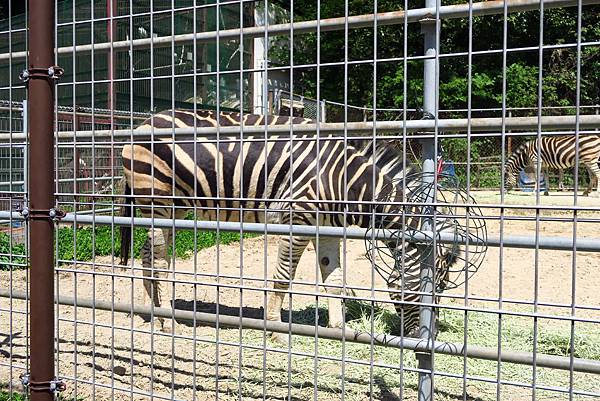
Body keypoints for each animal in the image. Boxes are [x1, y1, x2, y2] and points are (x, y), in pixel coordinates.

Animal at [118, 108, 460, 338]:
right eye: (438, 287)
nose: (426, 338)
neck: (344, 181)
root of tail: (141, 124)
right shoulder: (296, 218)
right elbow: (283, 277)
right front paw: (276, 330)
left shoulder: (326, 227)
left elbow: (334, 280)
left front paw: (338, 329)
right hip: (158, 201)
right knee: (157, 260)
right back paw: (167, 320)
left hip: (173, 209)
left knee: (150, 257)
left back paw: (154, 314)